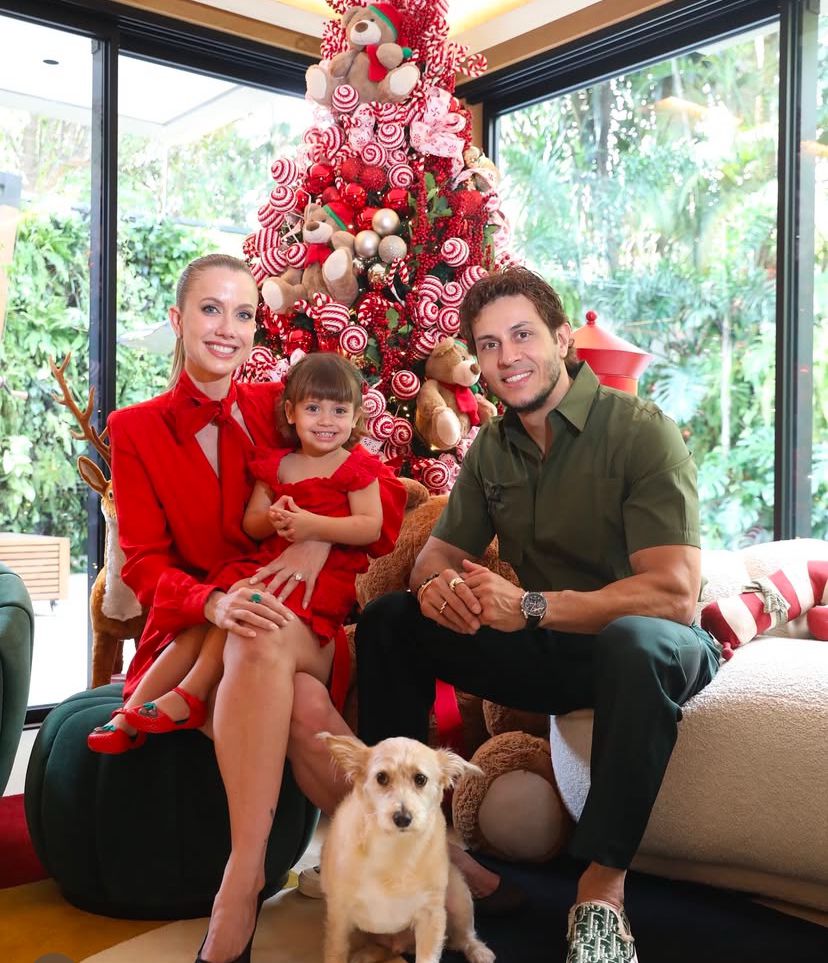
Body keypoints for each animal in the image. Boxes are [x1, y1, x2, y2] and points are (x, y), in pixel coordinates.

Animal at [317, 732, 496, 963]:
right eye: (381, 778)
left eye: (420, 779)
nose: (403, 818)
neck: (395, 848)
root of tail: (398, 945)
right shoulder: (339, 916)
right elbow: (336, 952)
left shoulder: (431, 916)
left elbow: (428, 957)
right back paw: (365, 954)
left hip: (459, 897)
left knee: (464, 937)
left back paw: (479, 951)